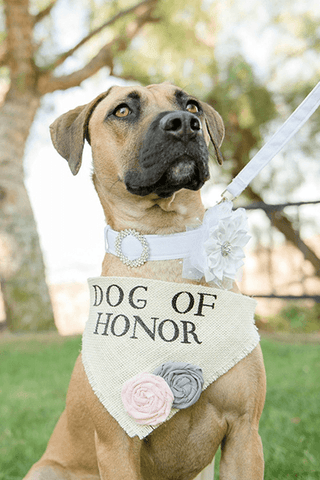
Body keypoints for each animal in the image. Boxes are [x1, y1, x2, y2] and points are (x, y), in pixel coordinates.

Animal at [23, 83, 266, 480]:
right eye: (122, 110)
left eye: (191, 105)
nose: (184, 123)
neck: (165, 242)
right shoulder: (116, 446)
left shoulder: (245, 434)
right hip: (48, 470)